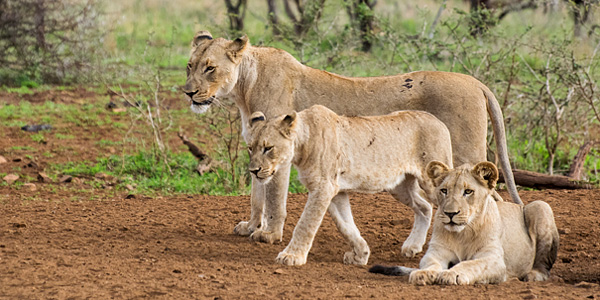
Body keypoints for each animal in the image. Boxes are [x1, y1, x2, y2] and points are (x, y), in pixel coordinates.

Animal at [246, 105, 452, 264]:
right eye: (250, 148)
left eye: (268, 148)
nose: (253, 171)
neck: (303, 144)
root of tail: (439, 121)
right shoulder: (336, 191)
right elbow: (345, 226)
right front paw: (361, 256)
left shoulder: (323, 187)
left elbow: (306, 224)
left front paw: (291, 256)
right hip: (398, 187)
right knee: (424, 207)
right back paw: (412, 246)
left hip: (432, 182)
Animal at [368, 161, 560, 284]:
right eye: (444, 190)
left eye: (468, 192)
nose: (450, 213)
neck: (463, 233)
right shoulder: (436, 252)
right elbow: (431, 263)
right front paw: (423, 274)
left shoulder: (494, 259)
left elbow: (470, 264)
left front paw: (452, 275)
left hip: (540, 206)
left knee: (544, 266)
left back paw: (532, 275)